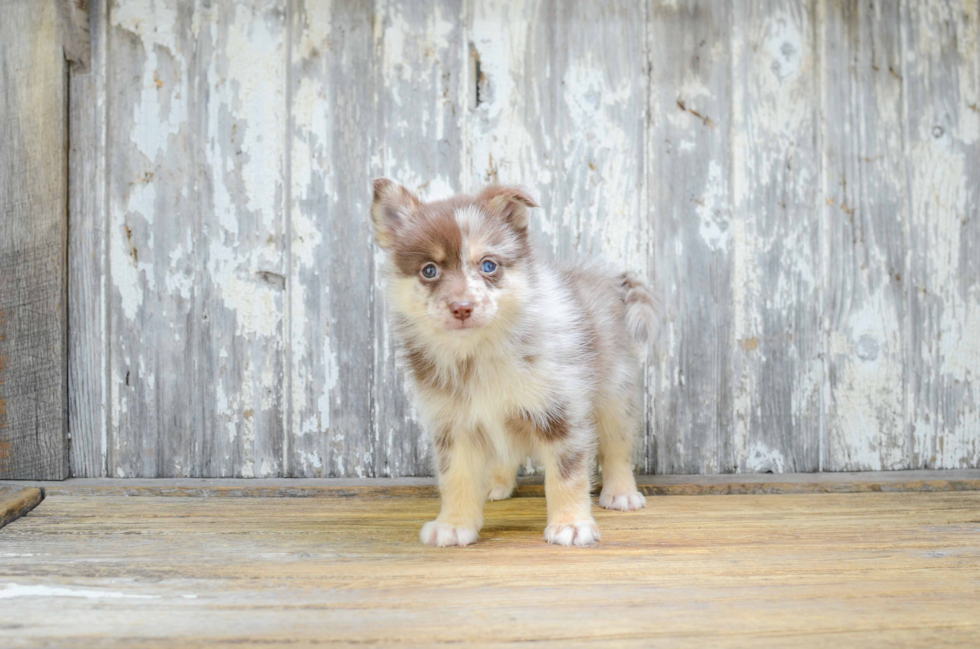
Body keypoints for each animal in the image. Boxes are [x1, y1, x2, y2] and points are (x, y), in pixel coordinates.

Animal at [372, 178, 656, 548]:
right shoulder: (454, 423)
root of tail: (605, 280)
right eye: (429, 271)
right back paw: (495, 483)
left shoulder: (561, 411)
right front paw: (454, 524)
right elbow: (456, 477)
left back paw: (621, 492)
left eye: (488, 265)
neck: (479, 352)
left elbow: (567, 475)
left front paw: (571, 525)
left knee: (616, 446)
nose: (462, 307)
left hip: (614, 394)